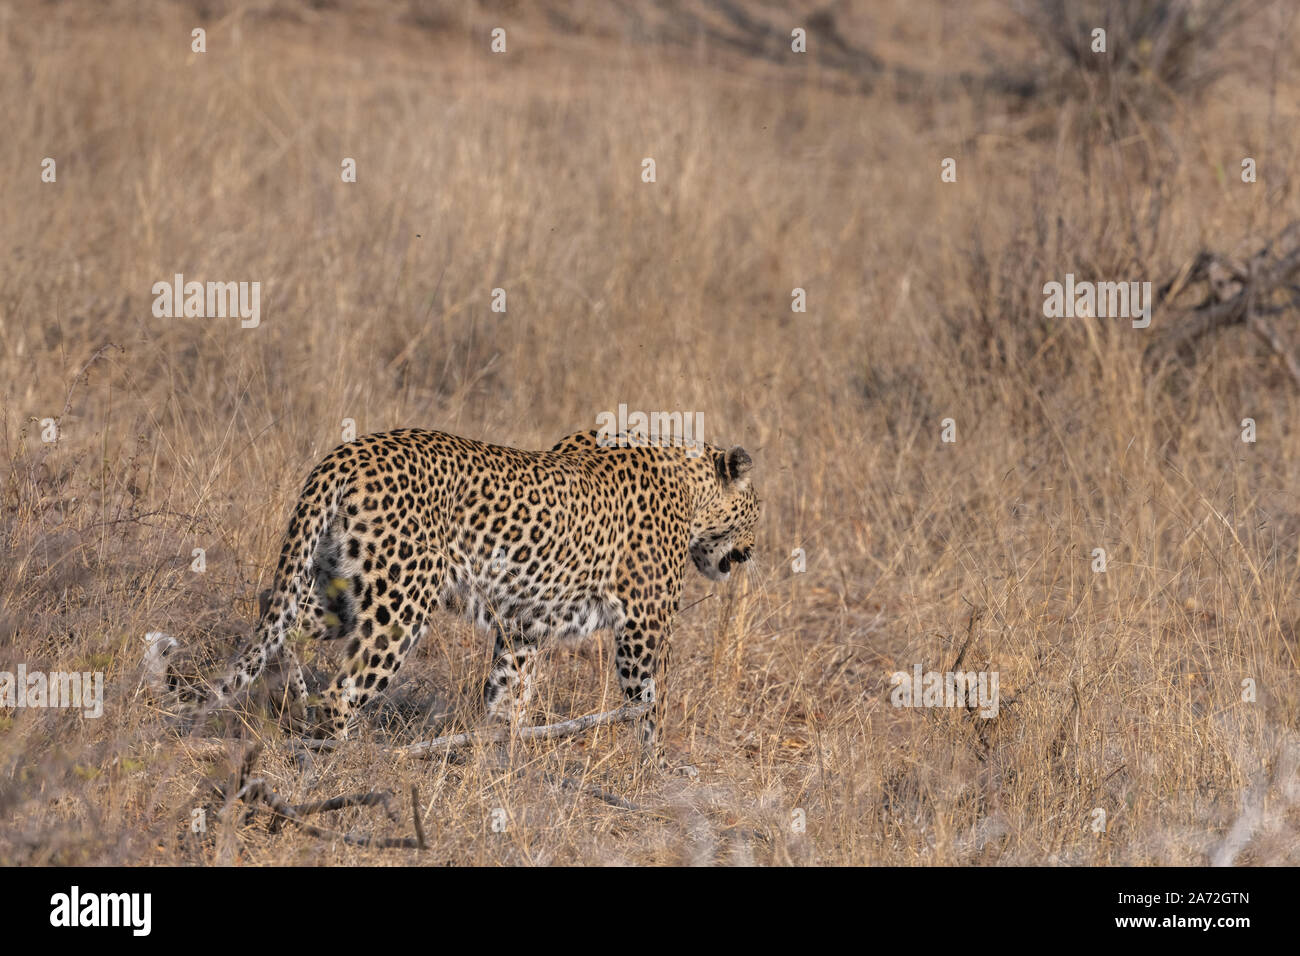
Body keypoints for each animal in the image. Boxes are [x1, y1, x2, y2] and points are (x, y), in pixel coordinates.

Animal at [178, 429, 759, 764]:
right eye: (757, 510)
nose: (752, 551)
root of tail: (345, 454)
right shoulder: (643, 625)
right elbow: (647, 705)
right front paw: (654, 771)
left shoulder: (524, 626)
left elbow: (507, 695)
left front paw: (498, 760)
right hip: (401, 601)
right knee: (343, 688)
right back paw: (340, 758)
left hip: (341, 588)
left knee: (275, 611)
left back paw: (297, 701)